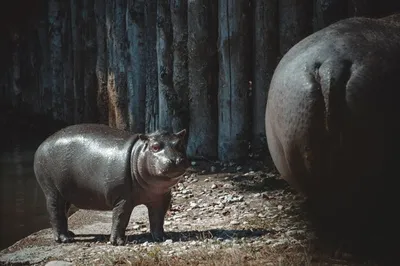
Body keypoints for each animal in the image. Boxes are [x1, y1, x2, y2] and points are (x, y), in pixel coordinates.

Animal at [33, 123, 188, 246]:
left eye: (180, 144)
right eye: (155, 147)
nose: (176, 160)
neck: (137, 153)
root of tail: (43, 143)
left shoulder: (161, 198)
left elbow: (158, 219)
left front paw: (162, 238)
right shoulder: (123, 199)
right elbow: (120, 218)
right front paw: (118, 242)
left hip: (65, 193)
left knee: (63, 211)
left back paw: (70, 234)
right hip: (52, 190)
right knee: (55, 211)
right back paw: (64, 239)